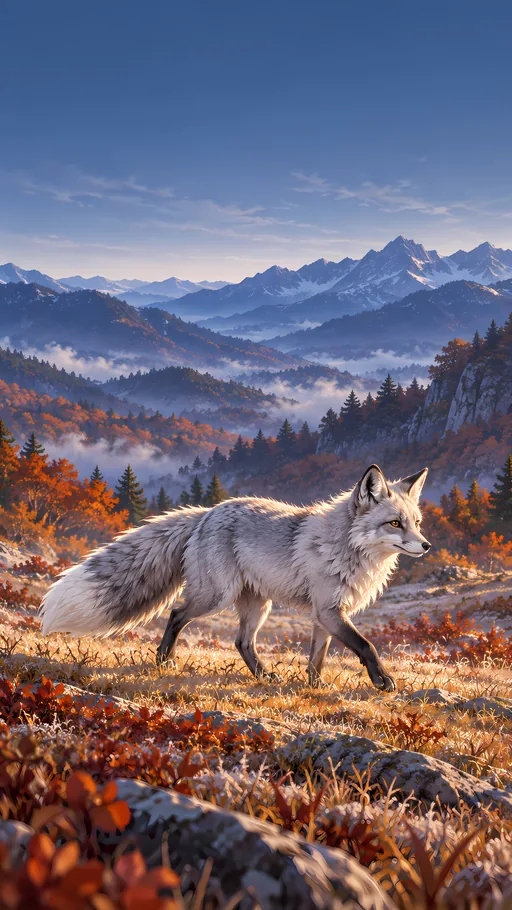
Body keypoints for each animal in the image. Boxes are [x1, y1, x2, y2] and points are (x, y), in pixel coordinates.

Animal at [40, 464, 431, 692]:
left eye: (416, 522)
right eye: (394, 523)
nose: (426, 545)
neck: (345, 547)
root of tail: (206, 512)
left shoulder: (326, 614)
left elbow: (317, 659)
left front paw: (314, 688)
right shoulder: (329, 611)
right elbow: (366, 646)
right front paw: (383, 680)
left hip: (258, 605)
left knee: (242, 642)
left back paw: (263, 676)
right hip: (216, 597)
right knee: (176, 614)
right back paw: (163, 661)